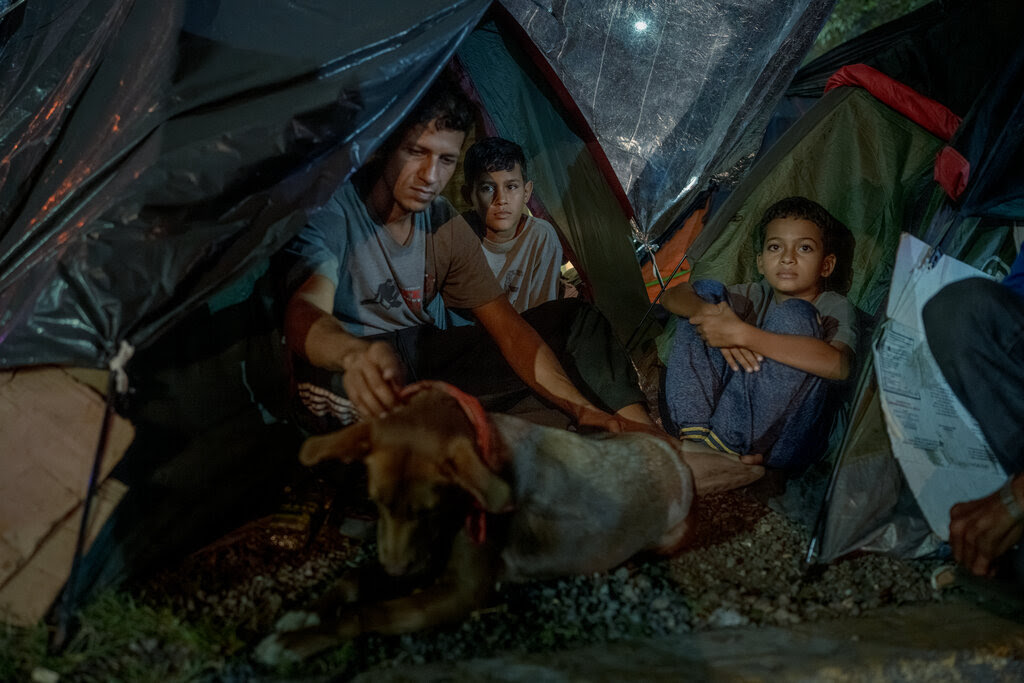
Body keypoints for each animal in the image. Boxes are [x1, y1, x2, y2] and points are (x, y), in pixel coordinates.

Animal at [258, 382, 696, 663]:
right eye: (376, 502)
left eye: (427, 510)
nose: (396, 569)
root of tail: (675, 457)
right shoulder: (424, 556)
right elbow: (352, 579)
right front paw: (305, 613)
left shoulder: (462, 591)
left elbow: (369, 613)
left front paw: (293, 642)